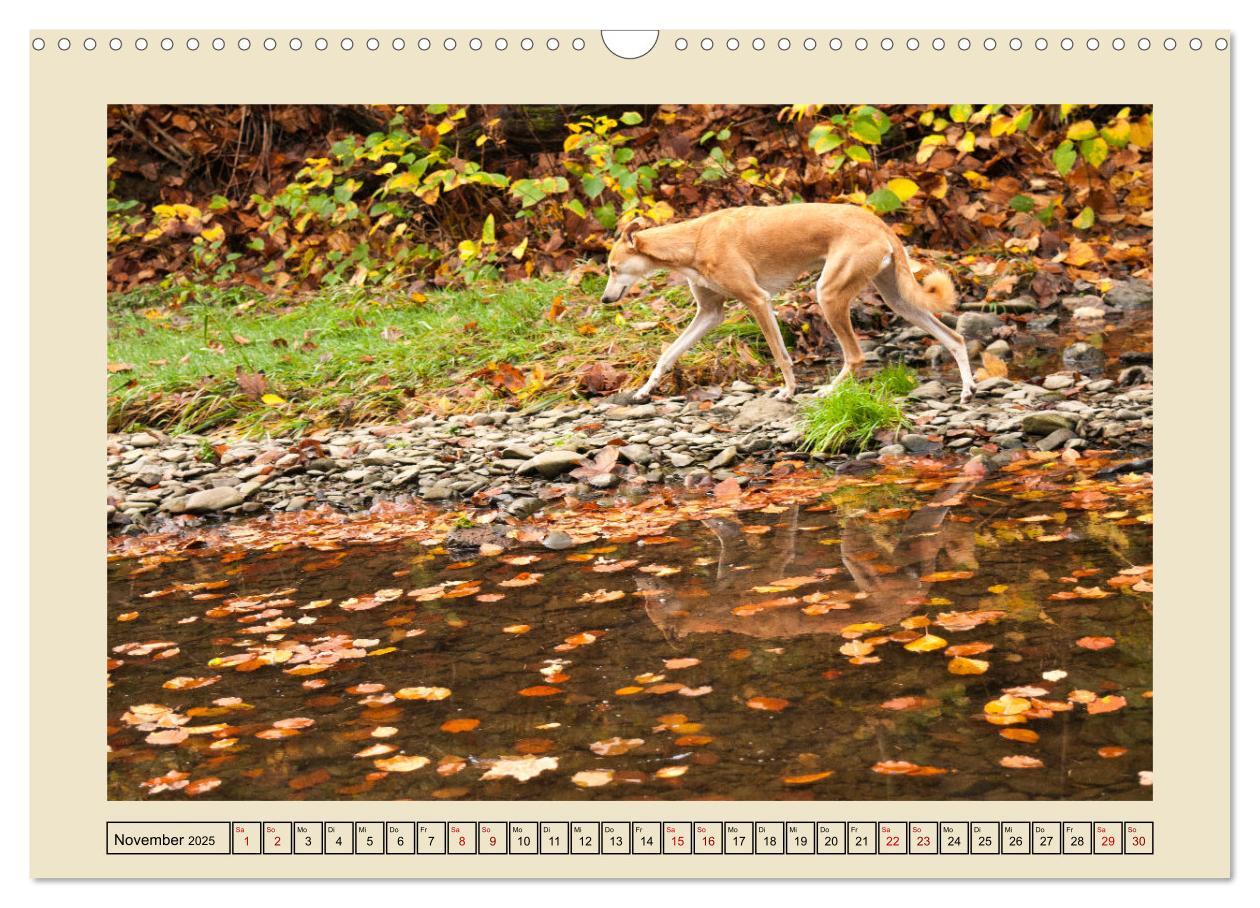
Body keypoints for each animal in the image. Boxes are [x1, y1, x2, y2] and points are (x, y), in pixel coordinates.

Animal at [599, 207, 972, 405]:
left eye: (613, 268)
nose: (604, 299)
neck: (695, 239)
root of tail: (877, 222)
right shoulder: (710, 314)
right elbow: (668, 354)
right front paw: (645, 390)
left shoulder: (757, 300)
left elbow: (781, 355)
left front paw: (789, 391)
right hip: (898, 301)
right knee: (955, 339)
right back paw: (968, 390)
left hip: (829, 294)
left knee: (855, 356)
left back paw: (827, 391)